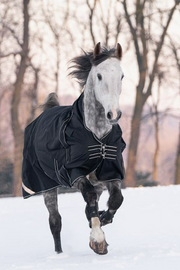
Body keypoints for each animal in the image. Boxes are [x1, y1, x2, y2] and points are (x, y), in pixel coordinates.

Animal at [21, 42, 126, 255]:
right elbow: (89, 196)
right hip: (48, 186)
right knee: (55, 221)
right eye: (99, 76)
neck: (96, 134)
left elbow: (116, 199)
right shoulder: (74, 173)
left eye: (121, 76)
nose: (113, 114)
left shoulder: (110, 172)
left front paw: (103, 219)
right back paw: (59, 253)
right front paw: (98, 241)